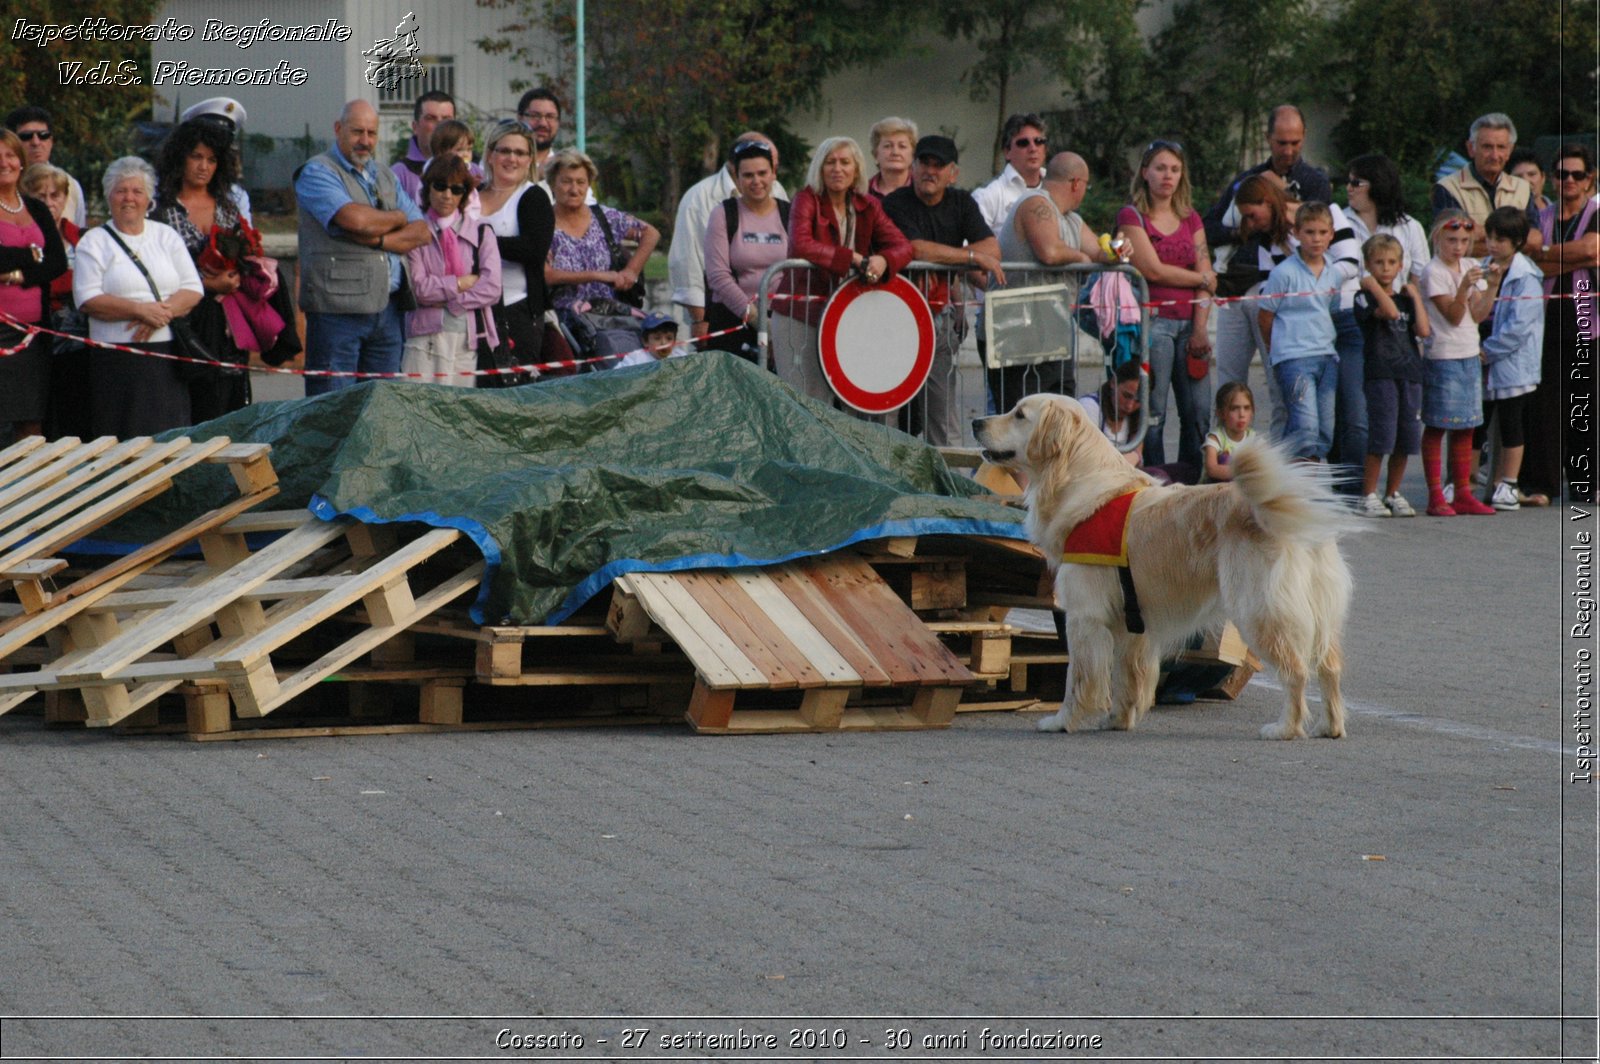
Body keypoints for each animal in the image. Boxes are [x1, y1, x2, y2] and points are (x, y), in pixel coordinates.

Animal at [972, 392, 1350, 739]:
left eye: (1019, 414)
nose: (976, 422)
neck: (1076, 479)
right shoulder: (1131, 622)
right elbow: (1128, 676)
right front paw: (1119, 719)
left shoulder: (1084, 615)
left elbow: (1078, 678)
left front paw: (1063, 721)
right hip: (1320, 614)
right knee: (1330, 668)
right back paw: (1329, 726)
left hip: (1259, 609)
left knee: (1297, 670)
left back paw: (1286, 728)